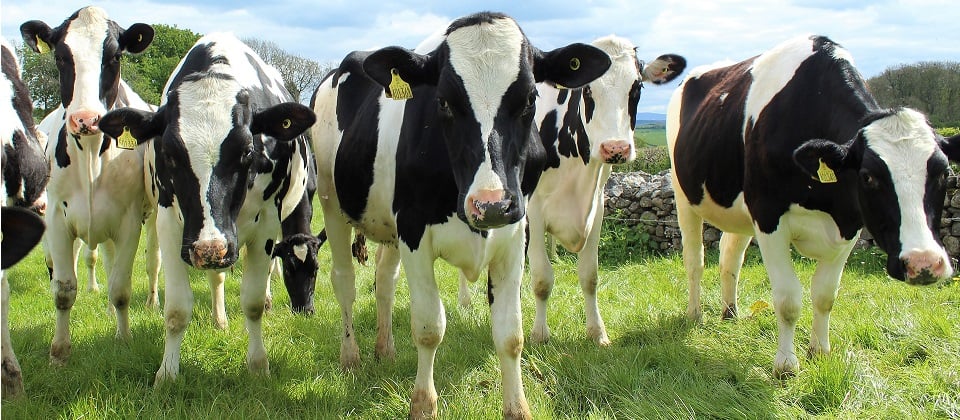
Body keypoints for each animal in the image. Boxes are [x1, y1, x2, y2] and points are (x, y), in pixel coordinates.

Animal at [20, 6, 164, 365]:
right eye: (60, 56)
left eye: (114, 56)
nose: (85, 119)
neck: (90, 157)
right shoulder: (57, 219)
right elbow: (63, 289)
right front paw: (59, 351)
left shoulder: (129, 221)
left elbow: (122, 288)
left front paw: (124, 338)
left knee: (151, 262)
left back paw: (151, 302)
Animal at [99, 32, 315, 384]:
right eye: (169, 153)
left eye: (247, 150)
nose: (209, 248)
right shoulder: (172, 225)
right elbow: (176, 309)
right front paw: (167, 373)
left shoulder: (266, 227)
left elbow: (253, 302)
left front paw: (258, 366)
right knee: (216, 278)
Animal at [310, 12, 612, 419]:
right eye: (443, 102)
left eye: (530, 98)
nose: (491, 204)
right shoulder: (414, 231)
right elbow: (428, 327)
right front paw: (423, 405)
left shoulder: (516, 233)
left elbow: (510, 333)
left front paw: (517, 407)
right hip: (331, 202)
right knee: (344, 281)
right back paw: (351, 357)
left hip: (387, 225)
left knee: (384, 281)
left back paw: (385, 349)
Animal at [457, 35, 686, 346]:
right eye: (587, 90)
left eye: (637, 87)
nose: (615, 148)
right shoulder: (533, 211)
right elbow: (542, 279)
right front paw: (539, 334)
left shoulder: (597, 207)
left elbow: (590, 276)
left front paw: (597, 332)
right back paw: (465, 301)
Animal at [667, 35, 960, 378]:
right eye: (868, 176)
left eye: (945, 173)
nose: (923, 263)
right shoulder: (768, 216)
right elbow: (788, 299)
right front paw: (785, 365)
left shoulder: (849, 224)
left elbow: (825, 295)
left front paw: (819, 352)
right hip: (684, 195)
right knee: (695, 261)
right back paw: (695, 314)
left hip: (739, 208)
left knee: (730, 256)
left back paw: (730, 312)